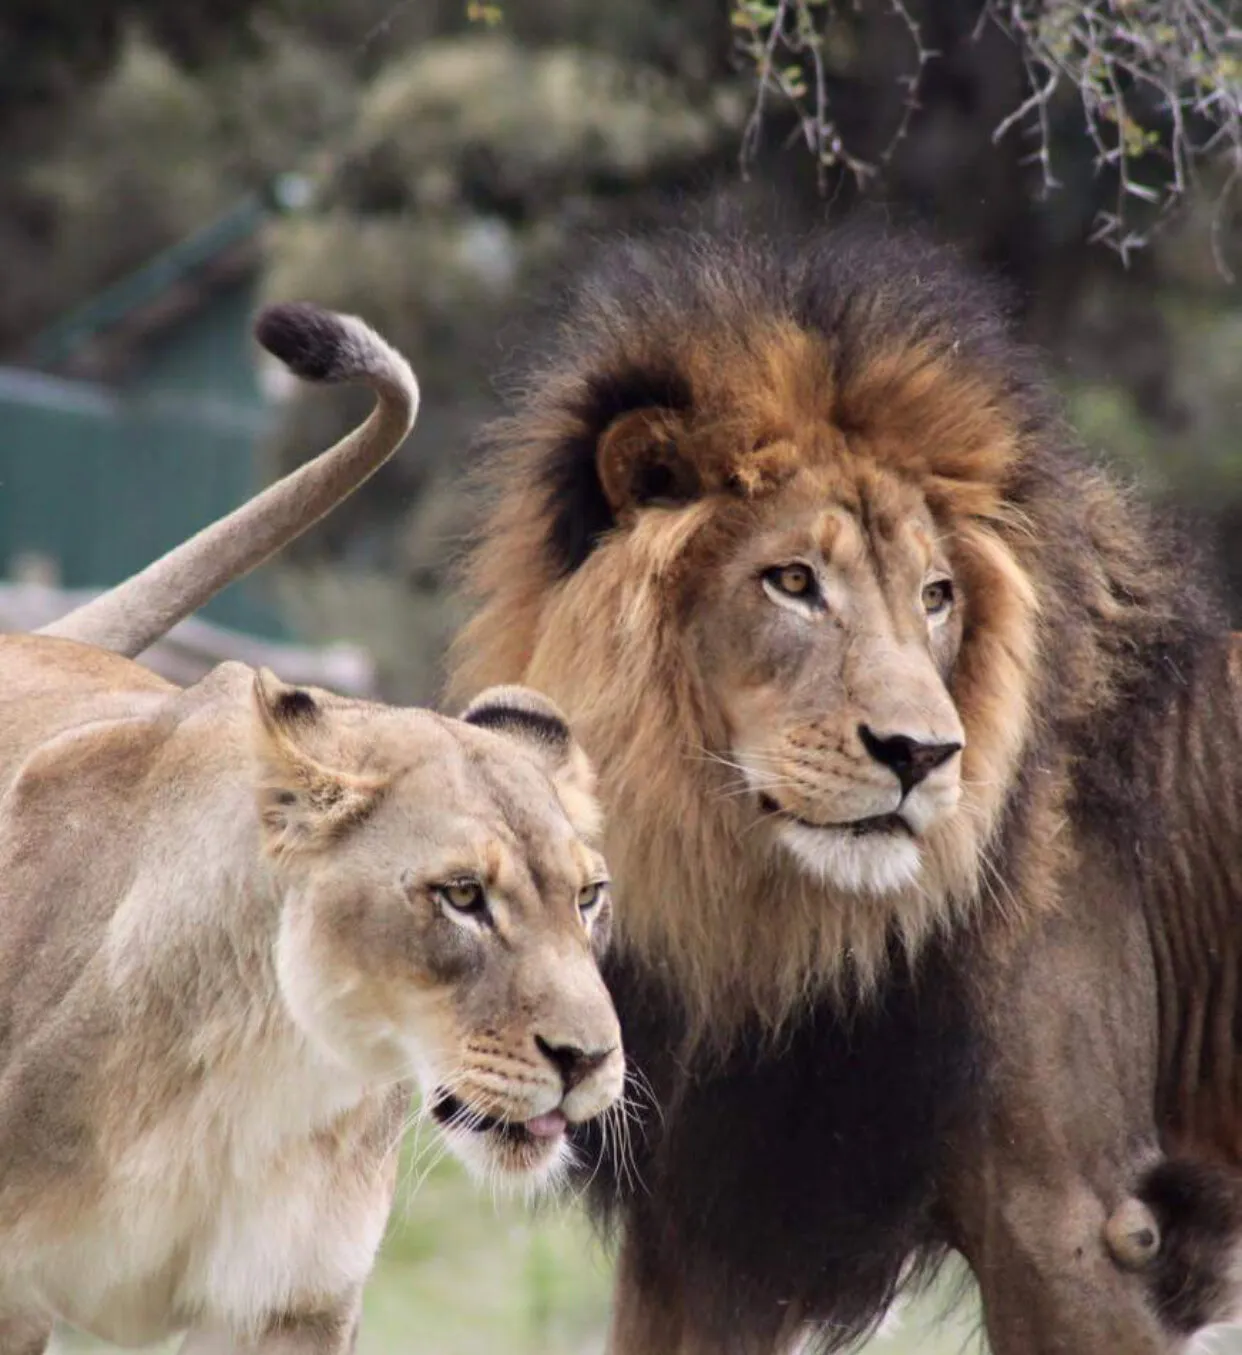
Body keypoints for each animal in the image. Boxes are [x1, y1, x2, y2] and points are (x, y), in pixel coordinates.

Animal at [0, 304, 623, 1355]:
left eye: (588, 897)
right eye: (462, 896)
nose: (588, 1063)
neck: (268, 1077)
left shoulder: (292, 1307)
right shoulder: (15, 1293)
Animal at [448, 212, 1242, 1353]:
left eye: (937, 595)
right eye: (792, 581)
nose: (923, 753)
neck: (763, 924)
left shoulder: (1082, 1223)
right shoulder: (707, 1216)